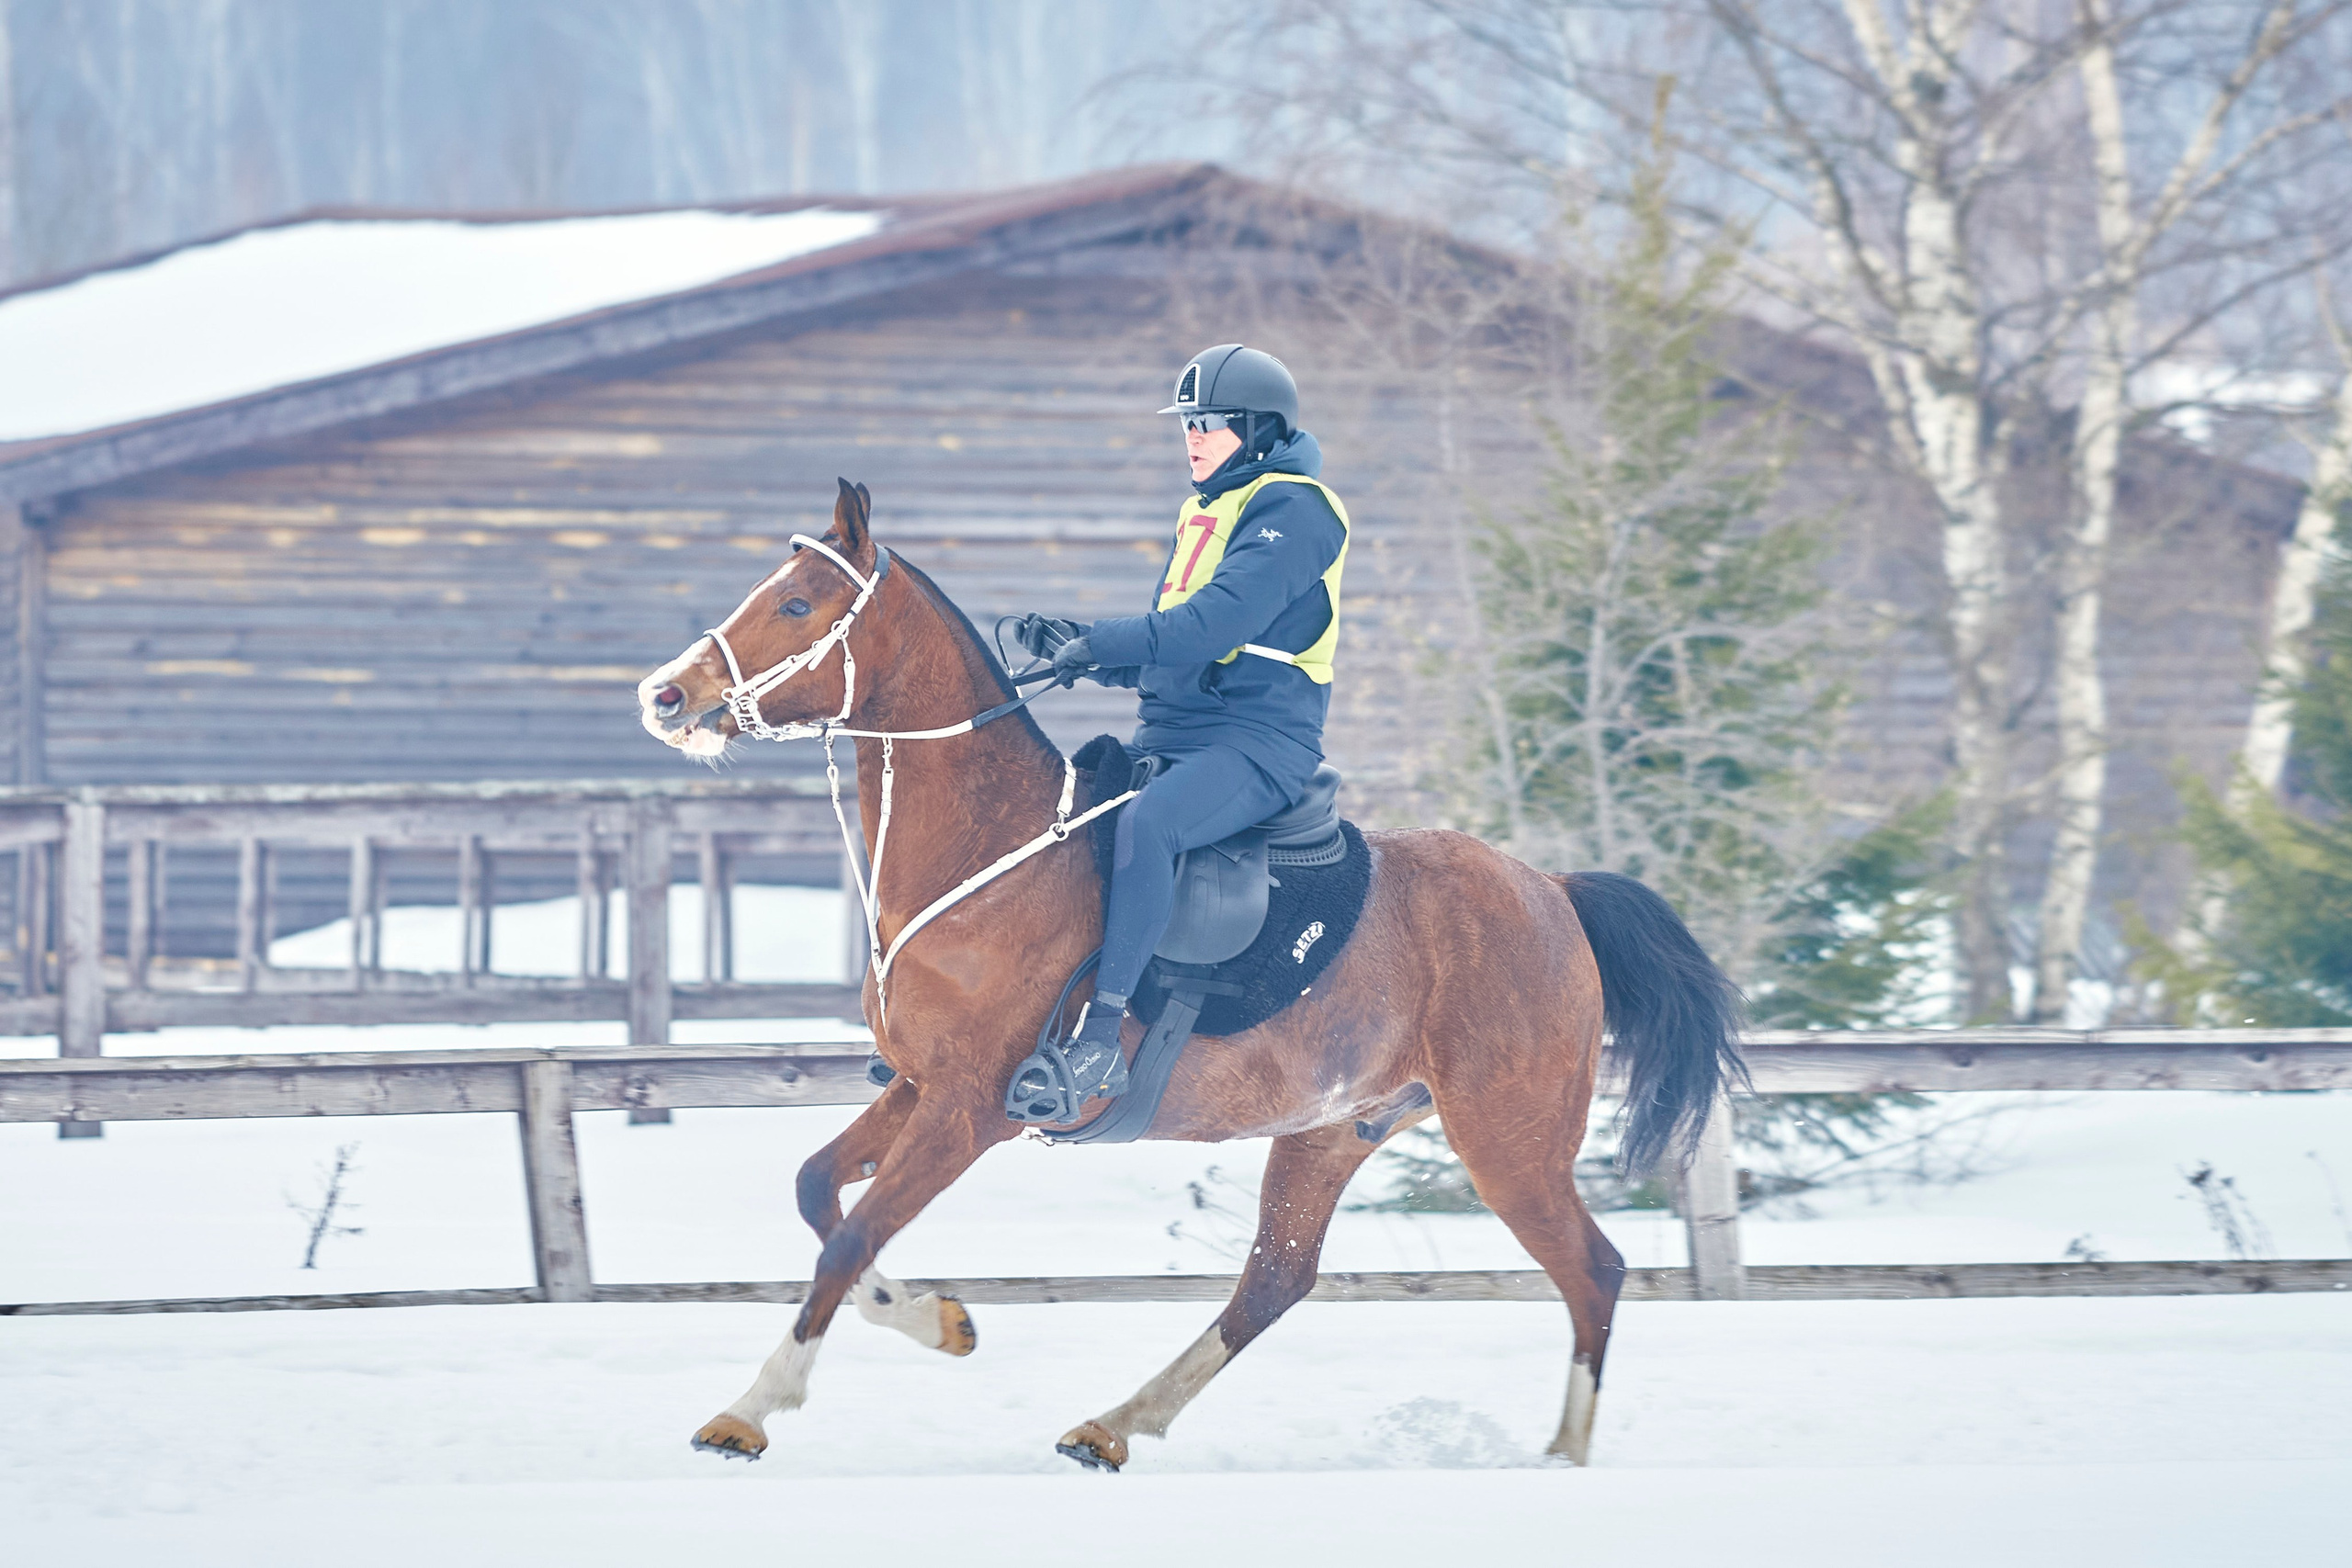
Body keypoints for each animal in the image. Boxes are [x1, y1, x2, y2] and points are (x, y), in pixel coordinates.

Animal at [635, 478, 1743, 1470]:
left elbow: (849, 1236)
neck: (986, 852)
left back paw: (1563, 1454)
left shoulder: (968, 1108)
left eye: (796, 604)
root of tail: (1551, 889)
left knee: (1594, 1272)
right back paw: (1113, 1425)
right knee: (1274, 1281)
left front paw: (751, 1410)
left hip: (1509, 1139)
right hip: (1331, 1132)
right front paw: (937, 1318)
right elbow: (819, 1193)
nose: (666, 695)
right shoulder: (916, 1085)